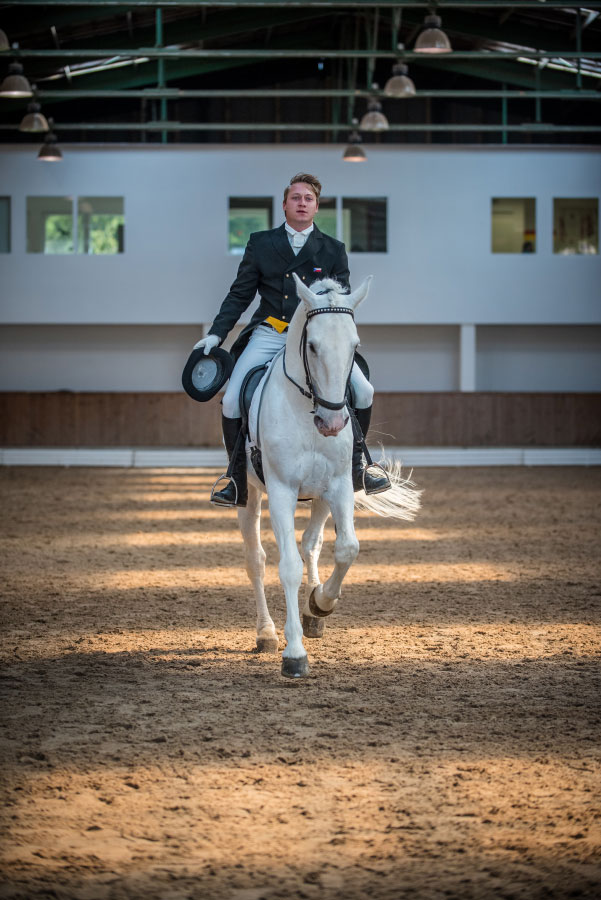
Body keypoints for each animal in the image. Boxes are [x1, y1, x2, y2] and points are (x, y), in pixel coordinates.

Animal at [237, 274, 420, 676]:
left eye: (355, 345)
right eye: (313, 346)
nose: (333, 422)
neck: (307, 409)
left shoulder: (339, 486)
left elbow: (347, 548)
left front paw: (320, 603)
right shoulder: (282, 490)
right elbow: (287, 565)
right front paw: (294, 654)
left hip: (320, 495)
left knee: (312, 544)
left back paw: (312, 613)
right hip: (251, 495)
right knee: (256, 559)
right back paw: (266, 633)